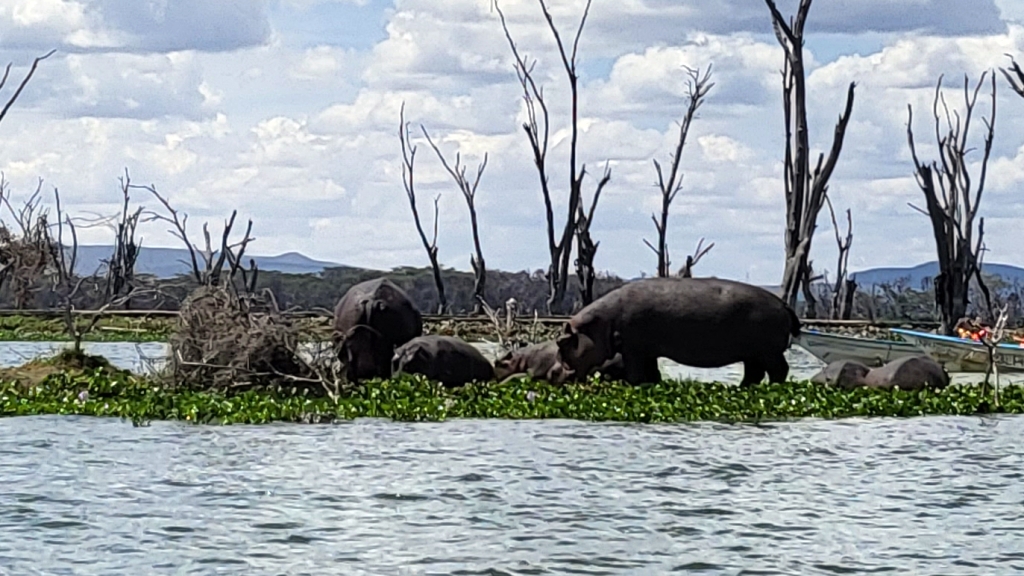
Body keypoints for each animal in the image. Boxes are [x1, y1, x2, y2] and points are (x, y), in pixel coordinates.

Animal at [552, 276, 798, 385]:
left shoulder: (634, 351)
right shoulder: (647, 352)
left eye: (562, 342)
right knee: (754, 374)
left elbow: (635, 374)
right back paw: (741, 389)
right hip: (754, 354)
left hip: (768, 353)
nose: (555, 374)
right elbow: (652, 374)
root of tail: (784, 304)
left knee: (779, 371)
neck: (602, 323)